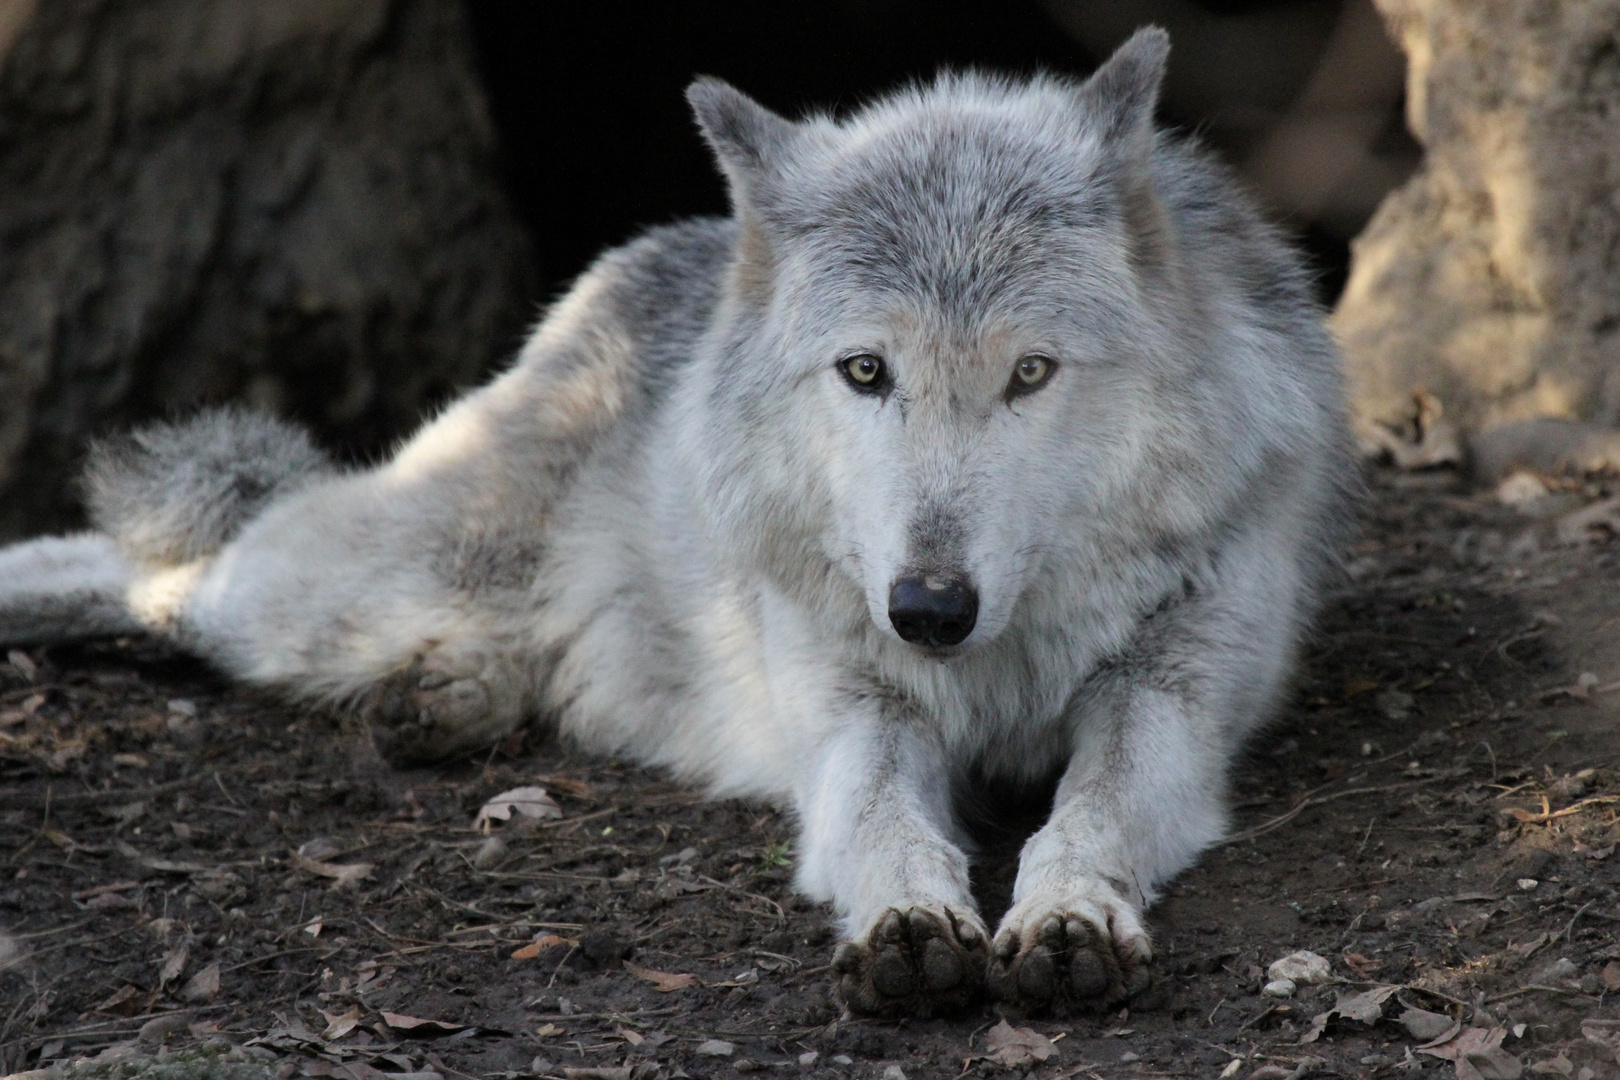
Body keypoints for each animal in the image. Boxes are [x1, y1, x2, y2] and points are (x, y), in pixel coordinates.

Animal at [0, 29, 1347, 1016]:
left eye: (1031, 374)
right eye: (866, 372)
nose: (926, 608)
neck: (999, 658)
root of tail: (634, 266)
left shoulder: (1168, 698)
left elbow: (1094, 808)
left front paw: (1065, 915)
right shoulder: (853, 712)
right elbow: (880, 822)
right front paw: (910, 923)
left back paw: (446, 696)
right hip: (348, 585)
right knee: (165, 571)